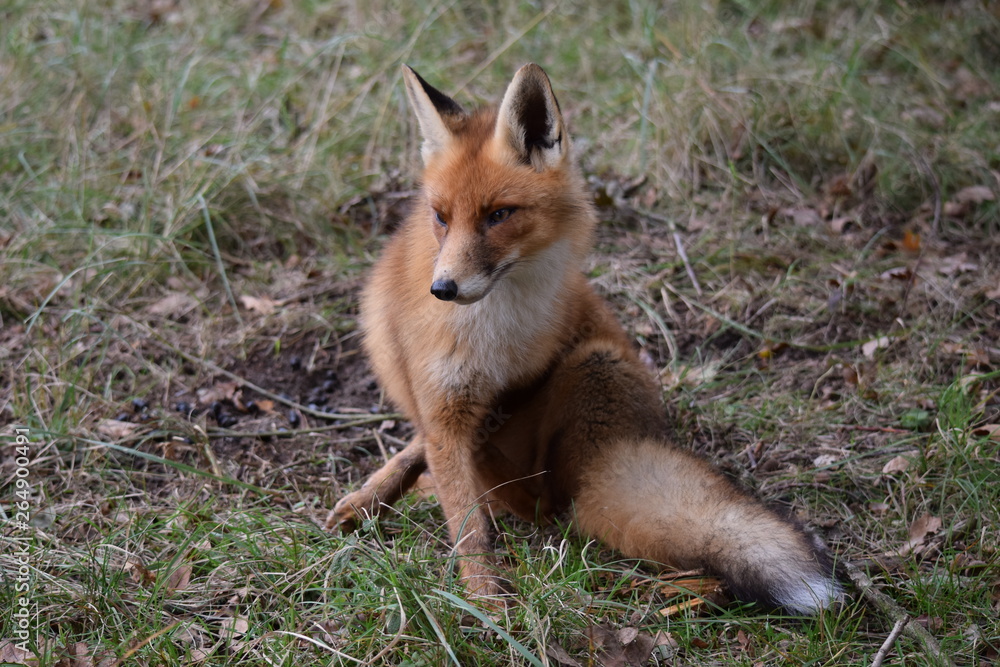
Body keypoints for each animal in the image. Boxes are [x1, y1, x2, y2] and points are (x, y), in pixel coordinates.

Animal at [327, 63, 844, 615]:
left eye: (498, 215)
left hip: (595, 361)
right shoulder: (443, 402)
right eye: (441, 217)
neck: (493, 332)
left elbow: (473, 516)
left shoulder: (507, 384)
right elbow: (466, 518)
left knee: (543, 503)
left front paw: (487, 605)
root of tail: (621, 447)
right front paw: (485, 596)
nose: (442, 289)